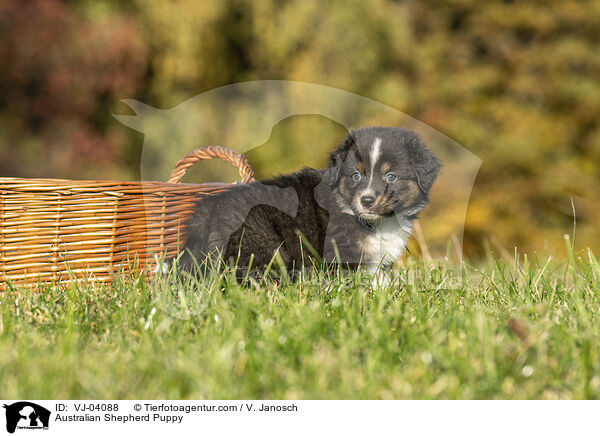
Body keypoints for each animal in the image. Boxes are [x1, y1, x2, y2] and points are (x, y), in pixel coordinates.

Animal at [178, 126, 440, 274]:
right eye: (356, 175)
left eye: (391, 176)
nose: (366, 200)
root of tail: (209, 211)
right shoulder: (342, 255)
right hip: (259, 244)